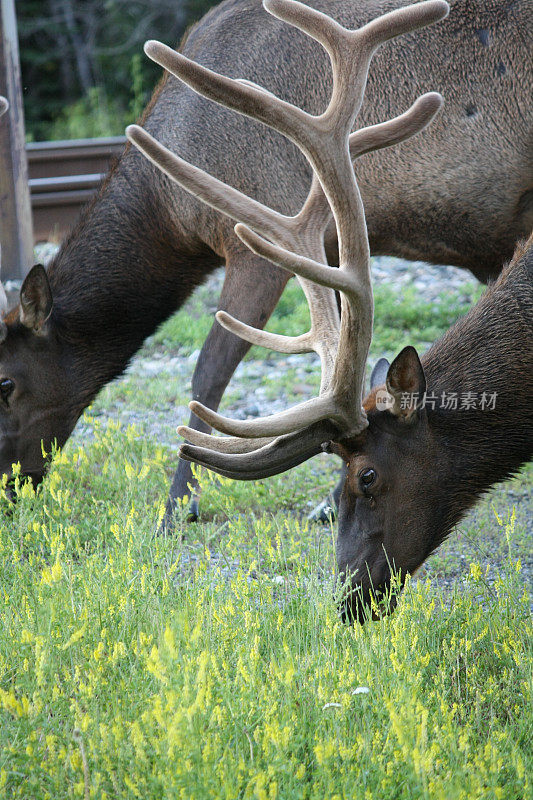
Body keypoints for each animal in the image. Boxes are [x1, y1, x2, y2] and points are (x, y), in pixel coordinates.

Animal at [1, 1, 532, 532]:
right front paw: (326, 497)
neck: (171, 211)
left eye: (6, 380)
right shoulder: (329, 250)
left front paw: (177, 506)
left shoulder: (259, 241)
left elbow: (210, 371)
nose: (8, 490)